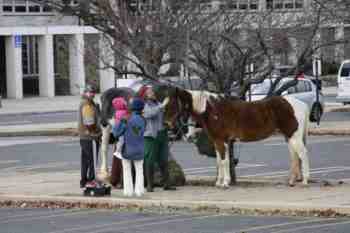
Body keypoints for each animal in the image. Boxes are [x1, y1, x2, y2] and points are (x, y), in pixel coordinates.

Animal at [163, 88, 310, 187]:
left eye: (172, 104)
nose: (167, 124)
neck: (214, 111)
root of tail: (301, 104)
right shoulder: (218, 142)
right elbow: (220, 161)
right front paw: (219, 182)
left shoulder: (221, 141)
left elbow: (223, 161)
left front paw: (225, 183)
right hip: (289, 137)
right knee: (294, 156)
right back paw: (291, 181)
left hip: (294, 136)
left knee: (303, 154)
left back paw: (305, 180)